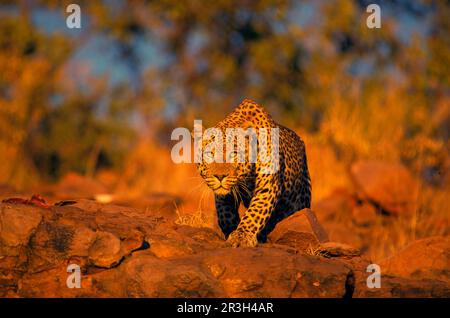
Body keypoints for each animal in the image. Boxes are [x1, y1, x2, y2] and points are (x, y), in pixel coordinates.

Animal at [192, 98, 312, 247]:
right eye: (209, 154)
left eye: (234, 154)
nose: (220, 177)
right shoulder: (223, 196)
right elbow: (225, 214)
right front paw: (232, 229)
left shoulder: (267, 188)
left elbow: (254, 213)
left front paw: (242, 235)